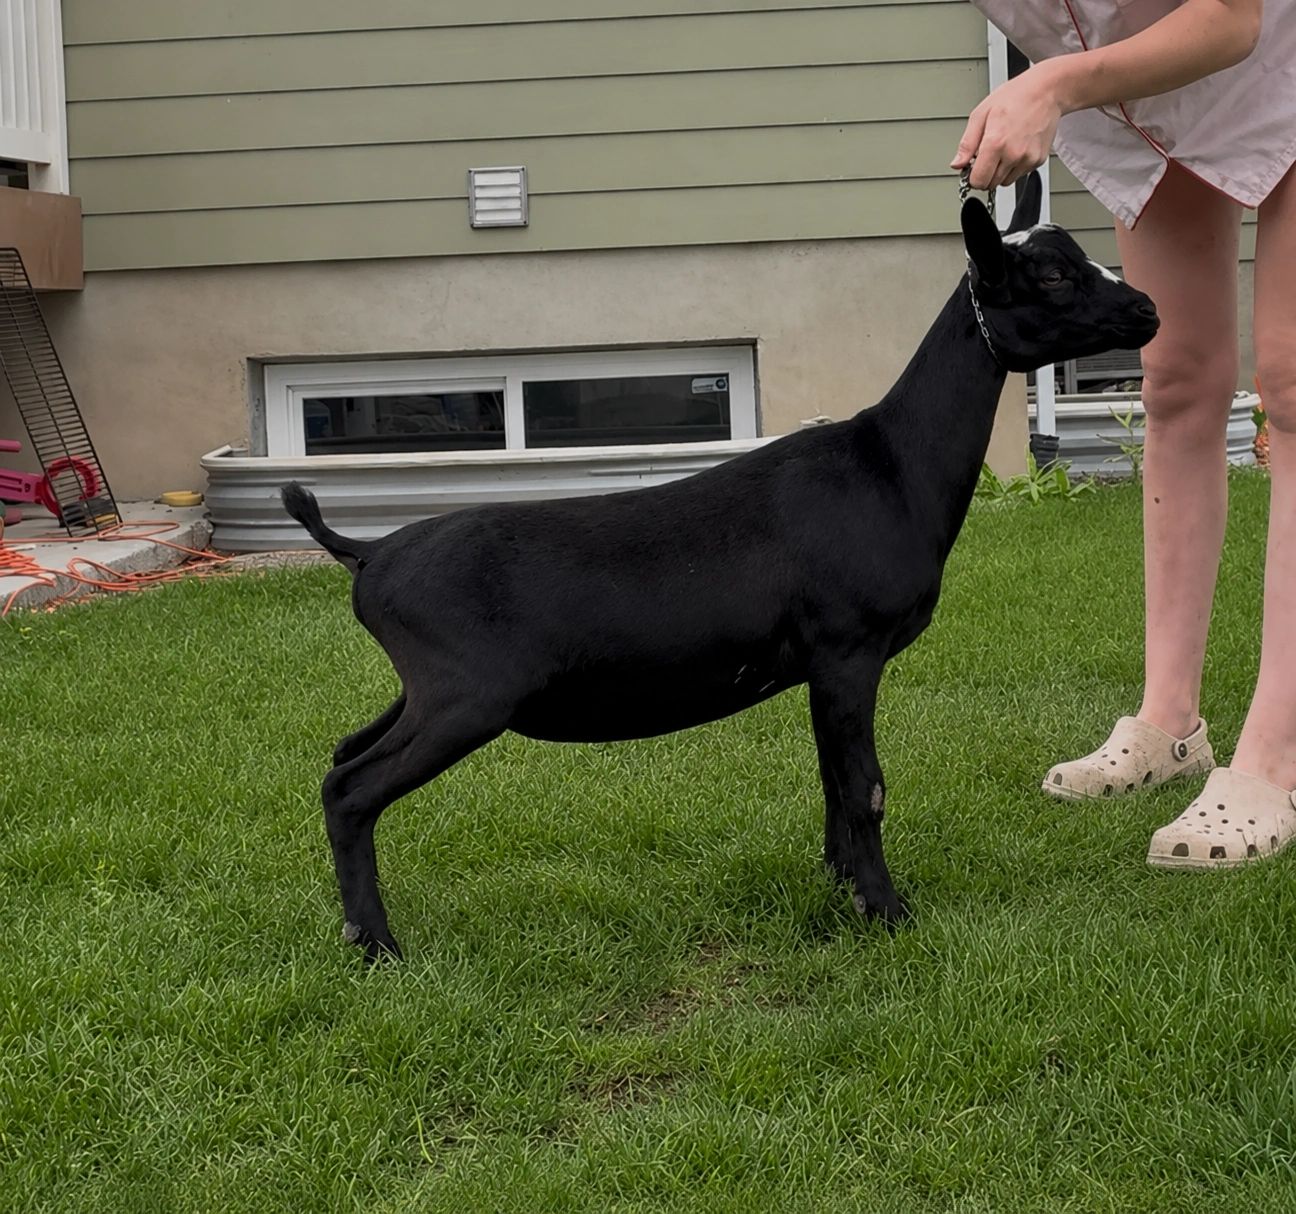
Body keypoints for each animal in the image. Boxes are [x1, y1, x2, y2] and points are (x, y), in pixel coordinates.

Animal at [282, 173, 1159, 960]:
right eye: (1050, 273)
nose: (1146, 310)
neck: (889, 467)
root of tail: (369, 555)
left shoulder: (820, 667)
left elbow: (833, 780)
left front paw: (842, 885)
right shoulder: (849, 649)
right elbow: (866, 786)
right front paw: (887, 910)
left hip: (426, 691)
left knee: (341, 756)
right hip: (466, 696)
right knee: (351, 790)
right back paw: (377, 945)